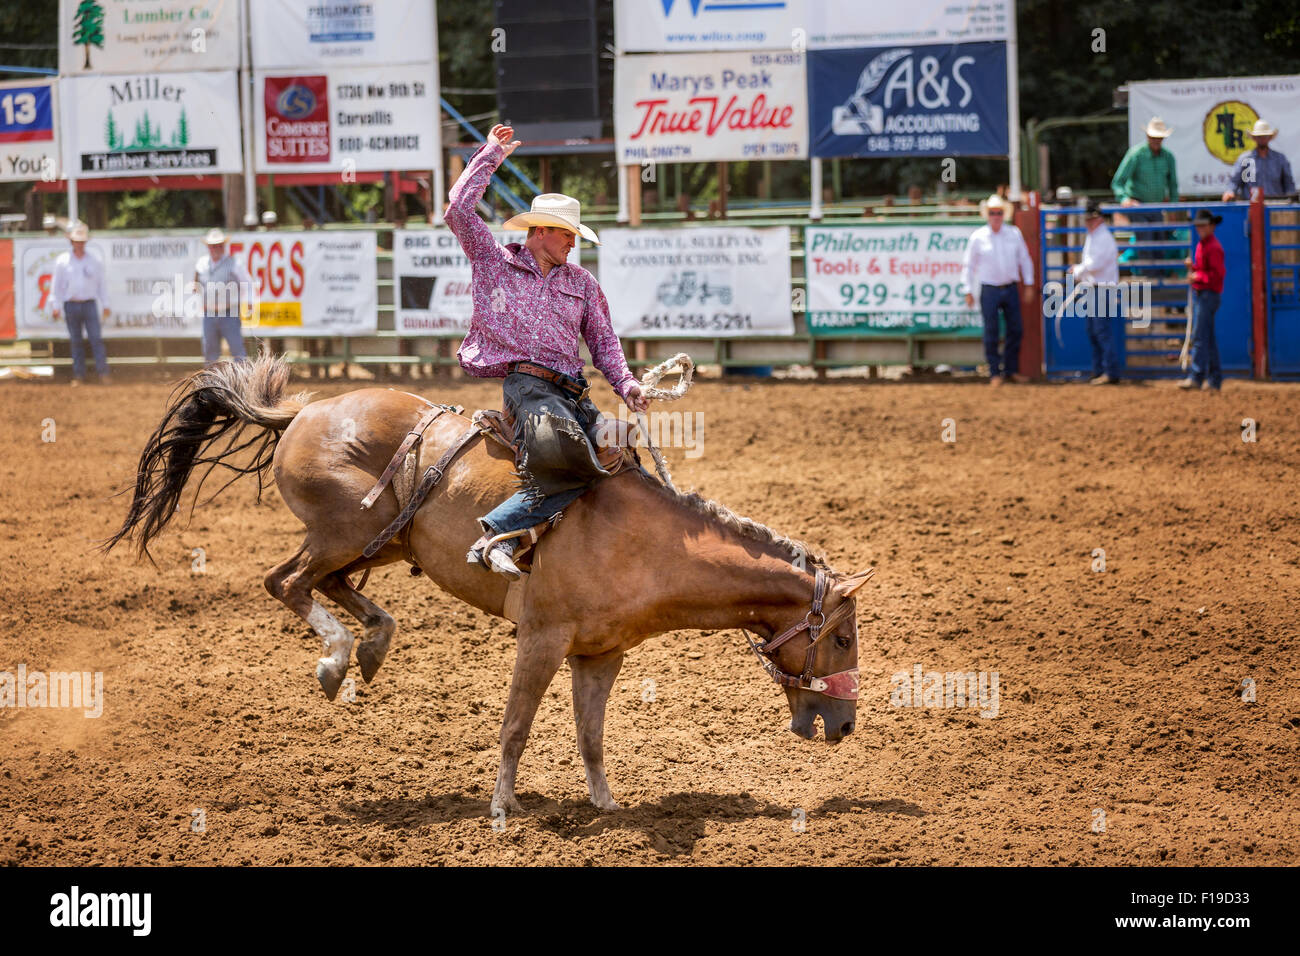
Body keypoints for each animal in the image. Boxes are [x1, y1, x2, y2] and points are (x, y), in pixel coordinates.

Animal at [104, 356, 873, 816]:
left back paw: (371, 644)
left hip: (382, 543)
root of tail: (303, 412)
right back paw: (335, 658)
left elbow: (591, 734)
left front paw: (605, 804)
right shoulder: (542, 636)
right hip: (345, 529)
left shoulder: (601, 655)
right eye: (841, 638)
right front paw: (503, 809)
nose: (845, 726)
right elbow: (516, 726)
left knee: (331, 585)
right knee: (287, 580)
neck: (646, 541)